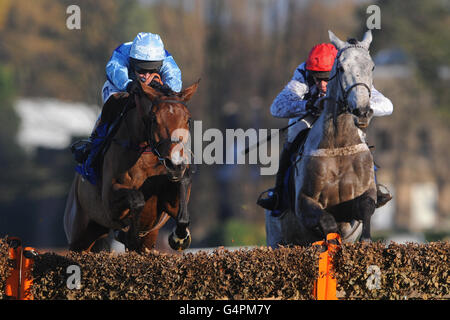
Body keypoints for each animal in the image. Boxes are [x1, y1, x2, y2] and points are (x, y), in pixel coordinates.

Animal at [63, 80, 199, 252]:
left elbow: (182, 196)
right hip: (79, 235)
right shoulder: (110, 202)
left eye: (188, 119)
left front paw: (179, 237)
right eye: (154, 119)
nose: (174, 163)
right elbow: (136, 198)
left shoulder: (169, 201)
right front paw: (130, 236)